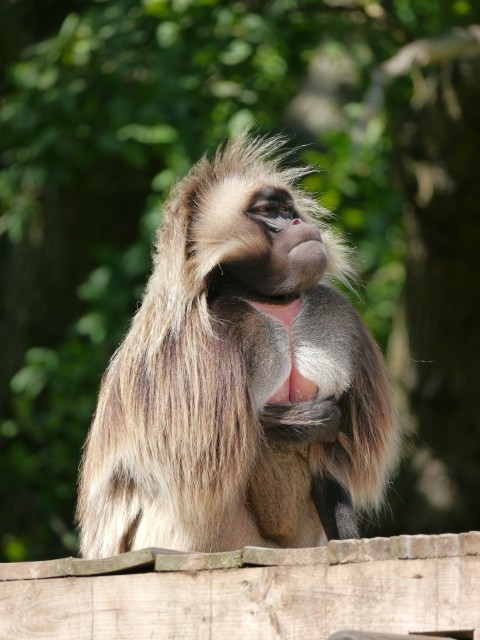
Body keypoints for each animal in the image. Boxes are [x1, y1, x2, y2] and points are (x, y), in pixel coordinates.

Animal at [76, 132, 398, 558]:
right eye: (267, 212)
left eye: (287, 209)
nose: (297, 222)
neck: (269, 302)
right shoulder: (195, 341)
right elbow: (202, 452)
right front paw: (302, 421)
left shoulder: (336, 315)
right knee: (198, 492)